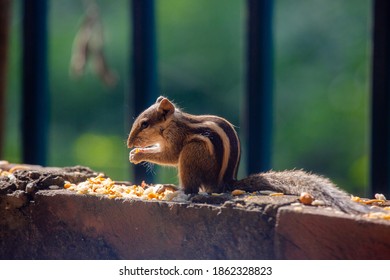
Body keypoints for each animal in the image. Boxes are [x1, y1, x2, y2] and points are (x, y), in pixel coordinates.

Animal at [126, 96, 374, 214]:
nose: (129, 143)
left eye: (145, 124)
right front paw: (135, 153)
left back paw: (177, 191)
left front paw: (138, 155)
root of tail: (224, 183)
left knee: (192, 188)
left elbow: (168, 156)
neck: (172, 124)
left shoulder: (178, 141)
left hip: (192, 154)